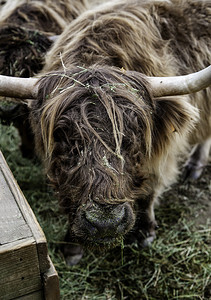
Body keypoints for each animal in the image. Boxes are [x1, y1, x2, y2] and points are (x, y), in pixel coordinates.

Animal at [0, 0, 210, 264]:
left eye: (134, 135)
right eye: (63, 137)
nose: (105, 224)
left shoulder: (161, 150)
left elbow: (151, 186)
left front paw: (144, 233)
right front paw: (73, 248)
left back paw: (195, 166)